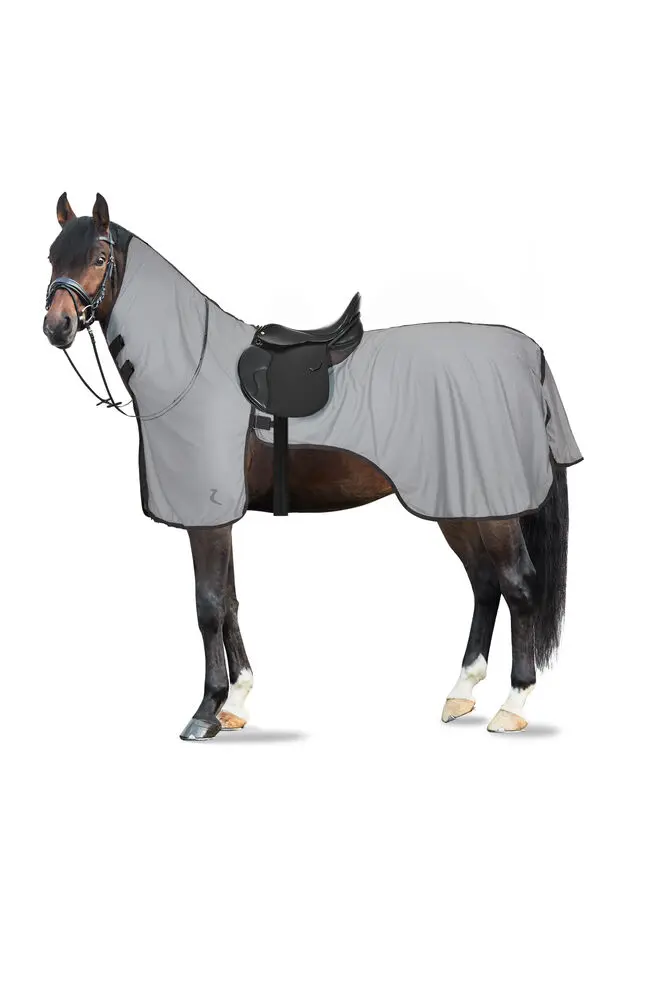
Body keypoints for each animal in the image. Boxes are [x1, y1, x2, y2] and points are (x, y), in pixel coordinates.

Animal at [43, 192, 580, 740]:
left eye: (99, 258)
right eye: (51, 257)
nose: (56, 326)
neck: (190, 364)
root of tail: (531, 356)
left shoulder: (207, 518)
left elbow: (208, 605)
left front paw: (206, 710)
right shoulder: (222, 518)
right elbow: (231, 602)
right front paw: (236, 702)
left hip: (493, 511)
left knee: (518, 586)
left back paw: (513, 704)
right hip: (460, 505)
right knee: (485, 584)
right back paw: (461, 693)